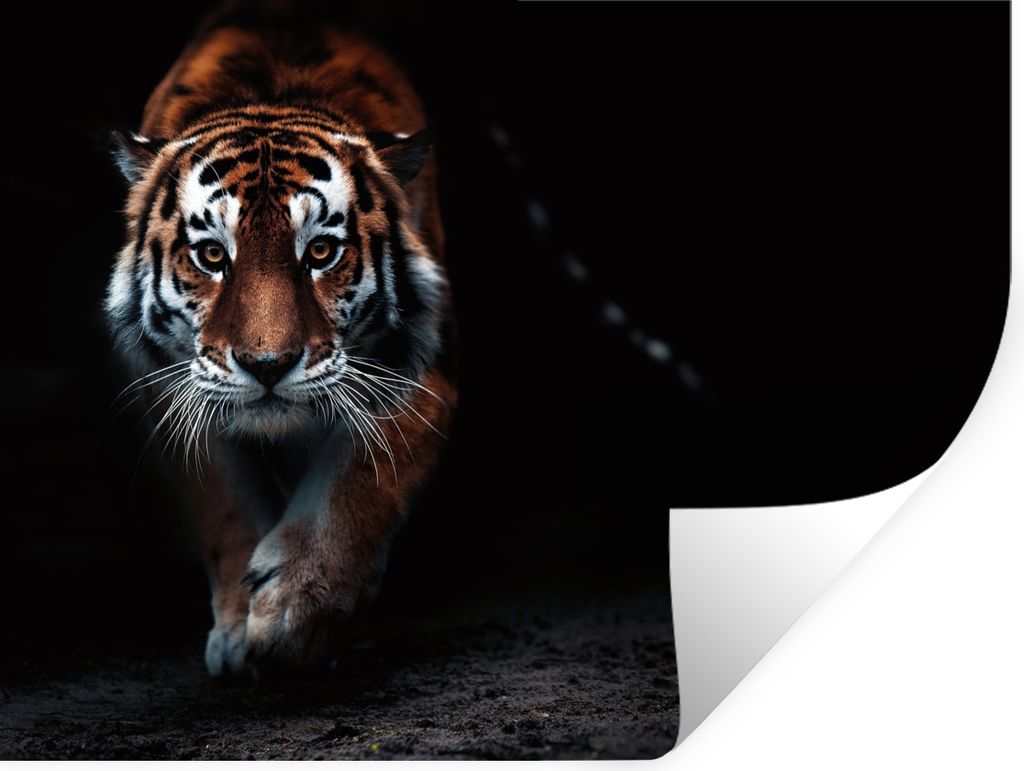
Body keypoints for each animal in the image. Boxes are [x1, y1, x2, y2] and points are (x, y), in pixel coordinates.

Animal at [105, 7, 456, 676]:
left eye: (320, 251)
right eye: (213, 256)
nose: (267, 365)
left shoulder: (421, 373)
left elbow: (360, 484)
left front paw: (295, 614)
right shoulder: (168, 387)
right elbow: (224, 504)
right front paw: (239, 633)